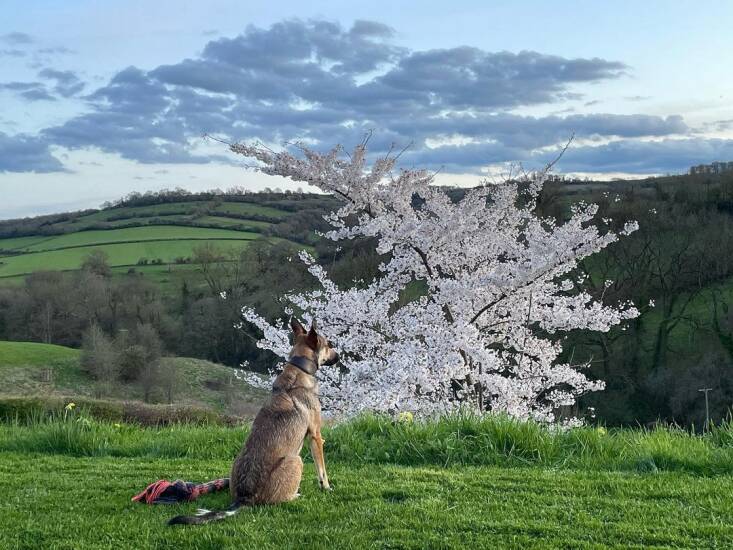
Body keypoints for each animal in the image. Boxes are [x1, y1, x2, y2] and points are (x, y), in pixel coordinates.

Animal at [169, 320, 338, 528]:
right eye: (329, 345)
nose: (338, 357)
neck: (299, 370)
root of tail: (244, 498)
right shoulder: (315, 434)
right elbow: (322, 470)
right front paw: (327, 487)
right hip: (295, 460)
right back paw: (296, 495)